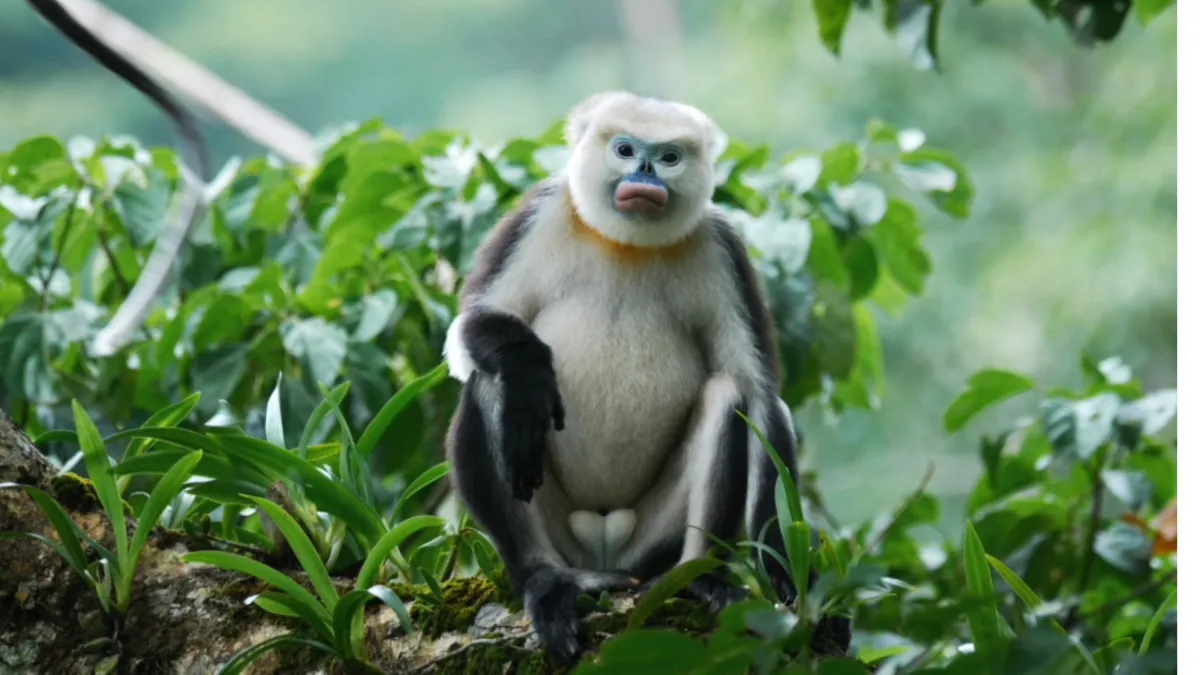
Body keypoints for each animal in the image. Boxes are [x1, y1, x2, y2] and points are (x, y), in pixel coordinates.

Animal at [443, 91, 852, 663]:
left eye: (669, 157)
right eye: (625, 149)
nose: (645, 173)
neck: (625, 244)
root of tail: (604, 550)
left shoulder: (720, 245)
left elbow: (759, 395)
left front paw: (789, 581)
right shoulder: (540, 213)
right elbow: (466, 332)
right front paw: (527, 370)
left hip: (649, 542)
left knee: (727, 395)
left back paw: (699, 580)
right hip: (561, 532)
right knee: (489, 383)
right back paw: (547, 582)